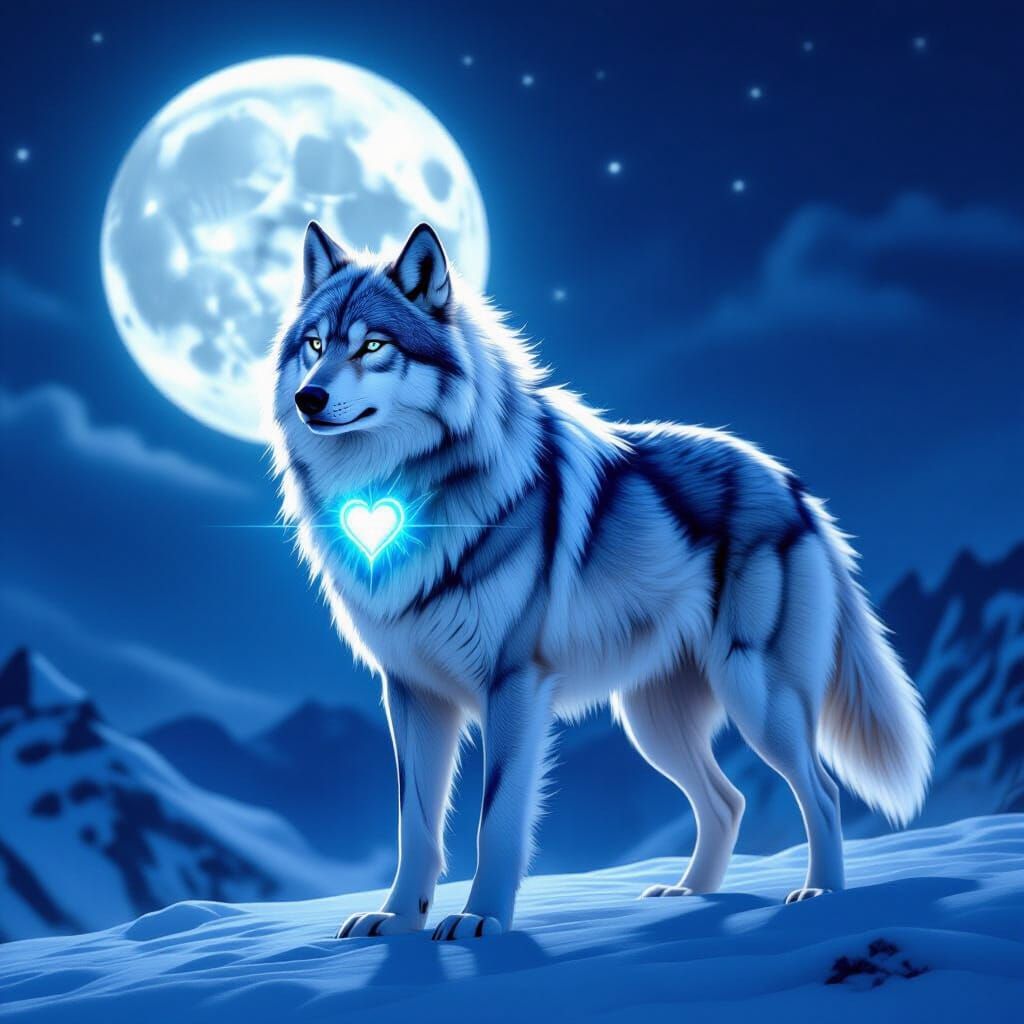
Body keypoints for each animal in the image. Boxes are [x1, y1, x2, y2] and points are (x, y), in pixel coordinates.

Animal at [269, 221, 932, 941]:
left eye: (373, 346)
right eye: (314, 344)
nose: (308, 398)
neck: (406, 491)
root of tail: (792, 485)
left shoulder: (515, 685)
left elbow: (495, 820)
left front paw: (481, 919)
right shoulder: (413, 694)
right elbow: (414, 826)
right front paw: (396, 919)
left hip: (757, 697)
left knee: (824, 792)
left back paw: (822, 895)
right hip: (652, 721)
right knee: (727, 801)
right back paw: (689, 896)